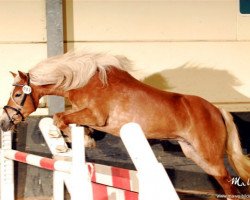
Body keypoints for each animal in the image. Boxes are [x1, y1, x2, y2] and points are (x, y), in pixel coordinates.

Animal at [0, 50, 249, 198]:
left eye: (18, 94)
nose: (4, 123)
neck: (84, 81)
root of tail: (217, 110)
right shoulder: (87, 115)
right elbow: (66, 118)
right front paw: (80, 138)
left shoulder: (97, 116)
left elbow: (61, 118)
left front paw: (76, 140)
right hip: (195, 154)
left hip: (210, 156)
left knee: (231, 185)